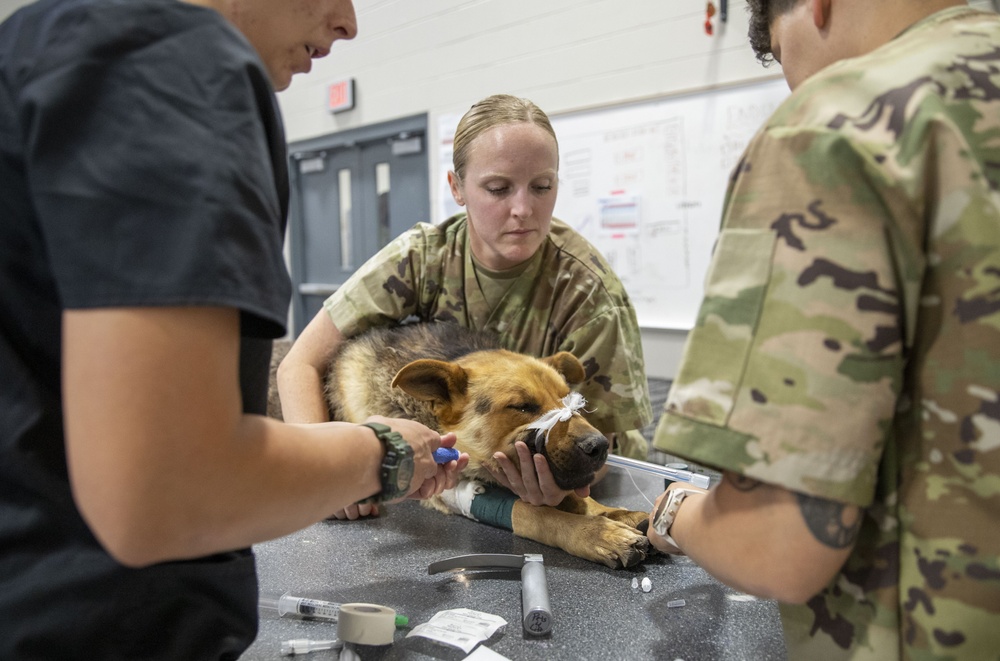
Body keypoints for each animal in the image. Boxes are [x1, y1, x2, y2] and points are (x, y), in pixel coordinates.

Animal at [322, 320, 648, 568]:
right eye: (523, 406)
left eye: (570, 400)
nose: (599, 446)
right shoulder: (450, 486)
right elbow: (535, 513)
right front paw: (595, 534)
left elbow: (582, 500)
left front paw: (617, 514)